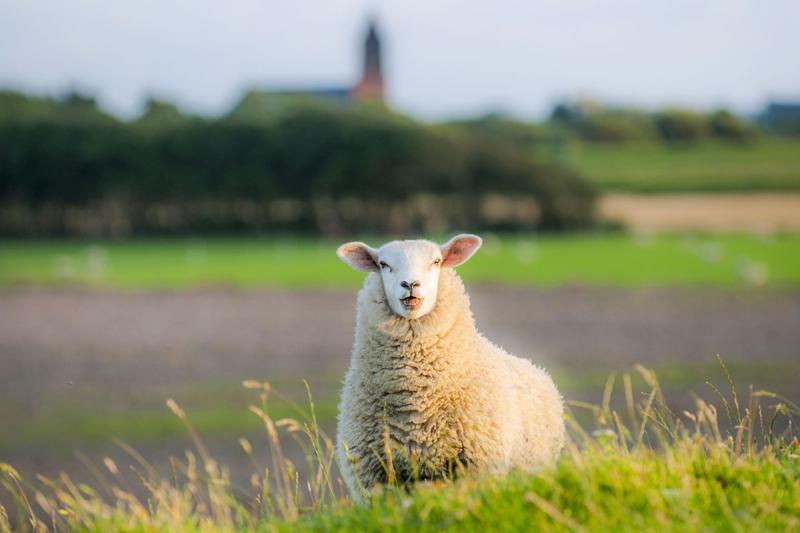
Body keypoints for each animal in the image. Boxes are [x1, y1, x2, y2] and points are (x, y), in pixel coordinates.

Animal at [334, 234, 565, 500]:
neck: (414, 399)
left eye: (436, 262)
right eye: (383, 264)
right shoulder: (372, 478)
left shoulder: (480, 466)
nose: (410, 284)